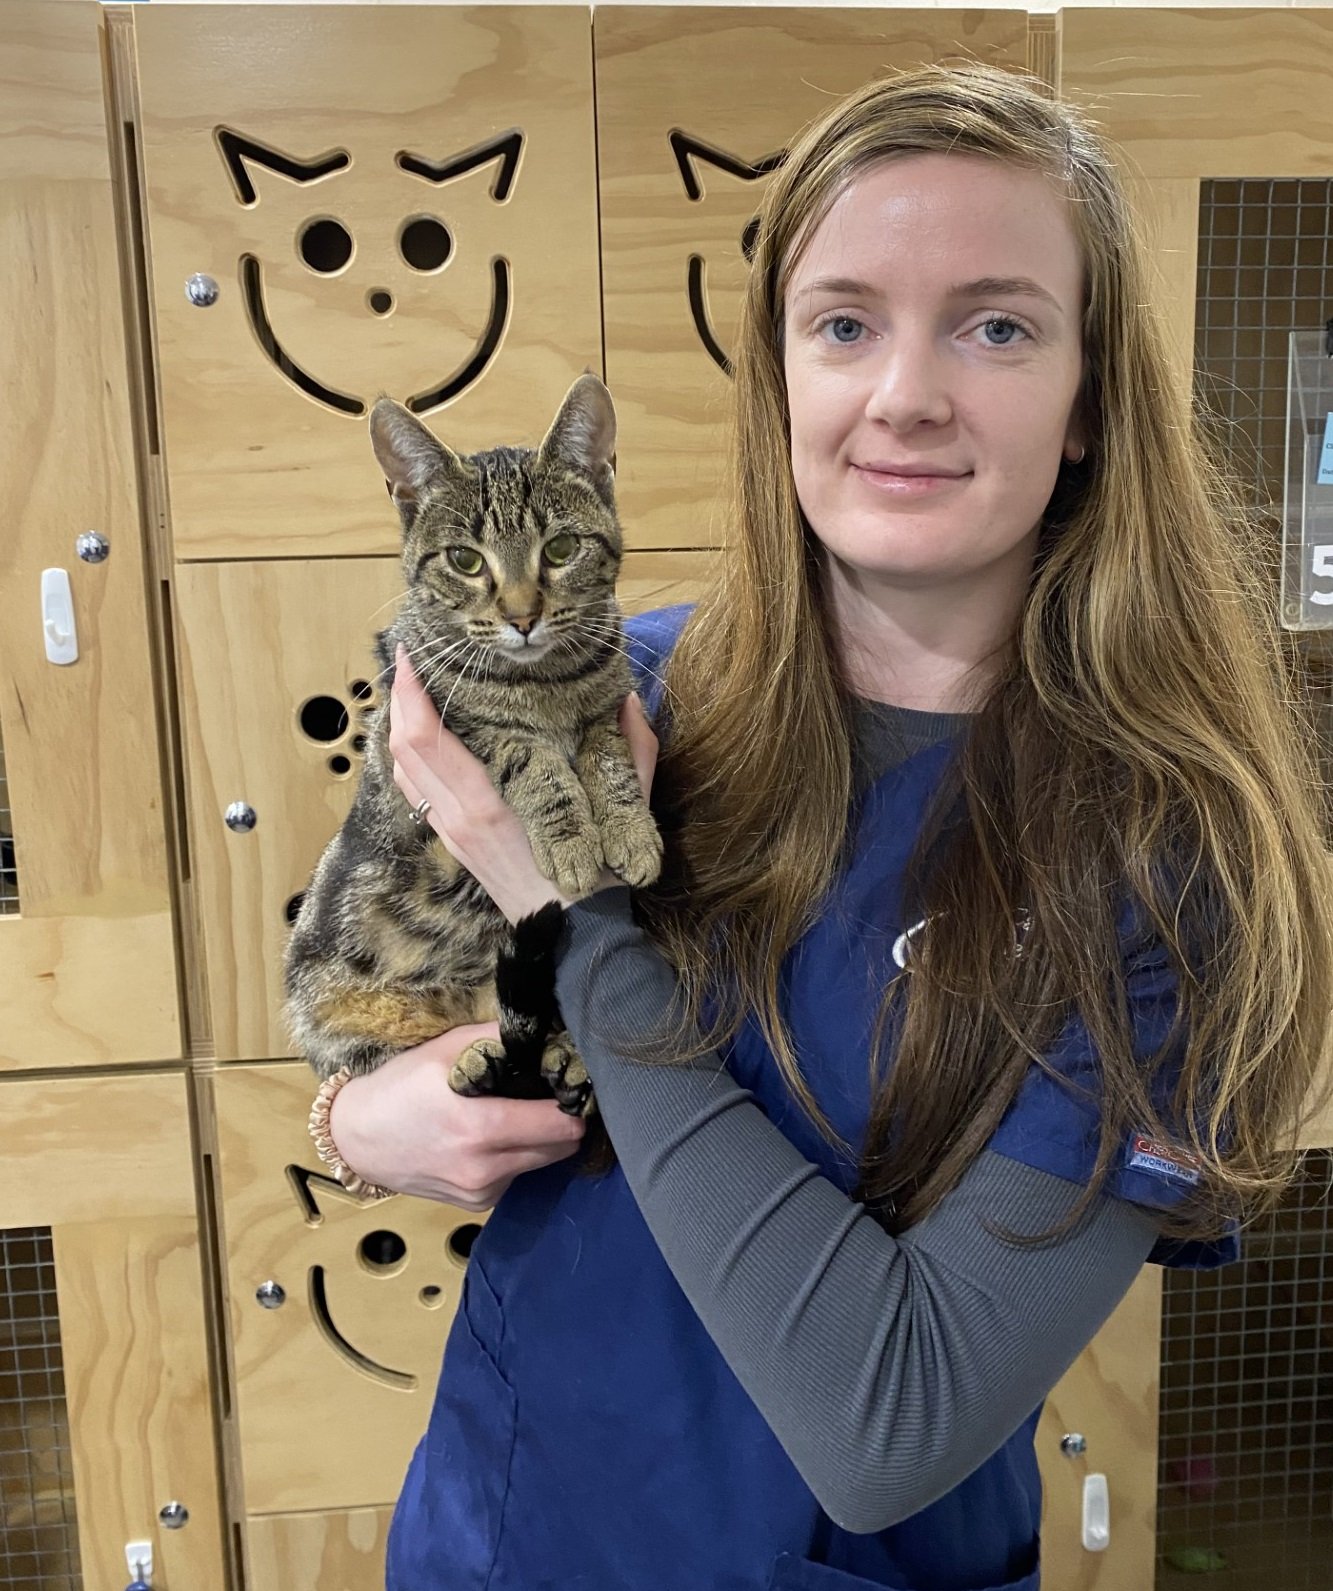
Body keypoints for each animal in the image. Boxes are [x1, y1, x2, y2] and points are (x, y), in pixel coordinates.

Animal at [284, 372, 661, 1120]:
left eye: (560, 549)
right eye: (464, 560)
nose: (522, 616)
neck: (544, 681)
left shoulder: (611, 702)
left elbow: (607, 757)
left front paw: (628, 828)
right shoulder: (442, 718)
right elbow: (533, 762)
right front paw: (571, 840)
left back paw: (561, 1062)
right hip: (333, 1017)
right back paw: (480, 1060)